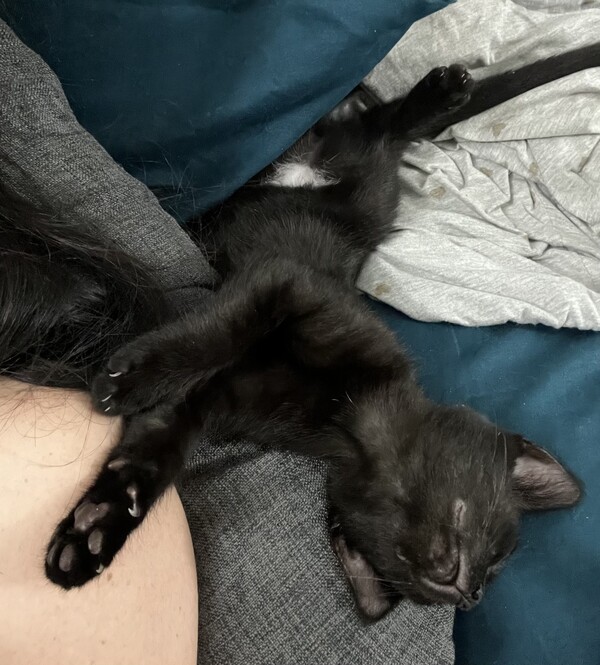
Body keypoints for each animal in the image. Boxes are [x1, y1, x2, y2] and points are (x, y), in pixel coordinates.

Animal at [44, 45, 599, 619]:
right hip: (359, 165)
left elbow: (150, 460)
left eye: (491, 572)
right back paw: (441, 91)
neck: (342, 417)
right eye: (496, 553)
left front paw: (94, 529)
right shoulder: (289, 282)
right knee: (386, 124)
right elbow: (224, 332)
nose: (471, 594)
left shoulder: (206, 404)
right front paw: (132, 379)